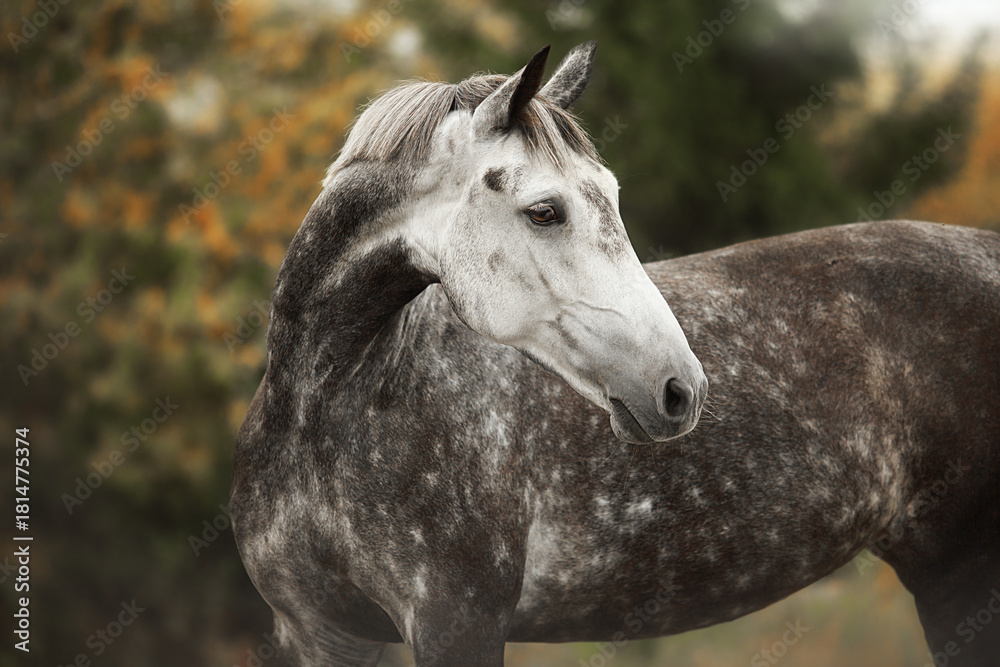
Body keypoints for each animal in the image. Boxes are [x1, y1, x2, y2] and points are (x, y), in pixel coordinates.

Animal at [232, 43, 1000, 666]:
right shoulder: (321, 632)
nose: (680, 389)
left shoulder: (457, 624)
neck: (329, 410)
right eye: (545, 210)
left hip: (960, 578)